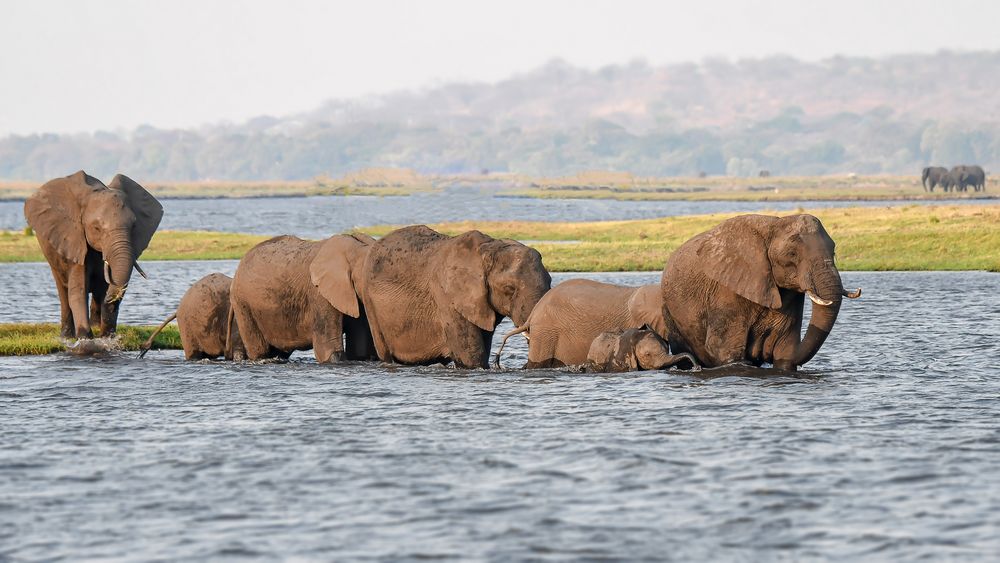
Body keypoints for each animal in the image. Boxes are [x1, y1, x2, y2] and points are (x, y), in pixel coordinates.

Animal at [24, 171, 164, 340]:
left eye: (134, 226)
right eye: (97, 228)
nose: (111, 298)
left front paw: (107, 338)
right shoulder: (75, 240)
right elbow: (78, 290)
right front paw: (85, 339)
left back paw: (96, 327)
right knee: (63, 291)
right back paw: (67, 336)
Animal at [360, 225, 552, 370]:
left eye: (550, 281)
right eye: (509, 289)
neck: (488, 248)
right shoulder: (447, 296)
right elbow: (471, 355)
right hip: (370, 303)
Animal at [660, 214, 864, 372]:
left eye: (834, 251)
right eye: (791, 254)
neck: (776, 225)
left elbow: (785, 350)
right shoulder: (726, 290)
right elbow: (723, 349)